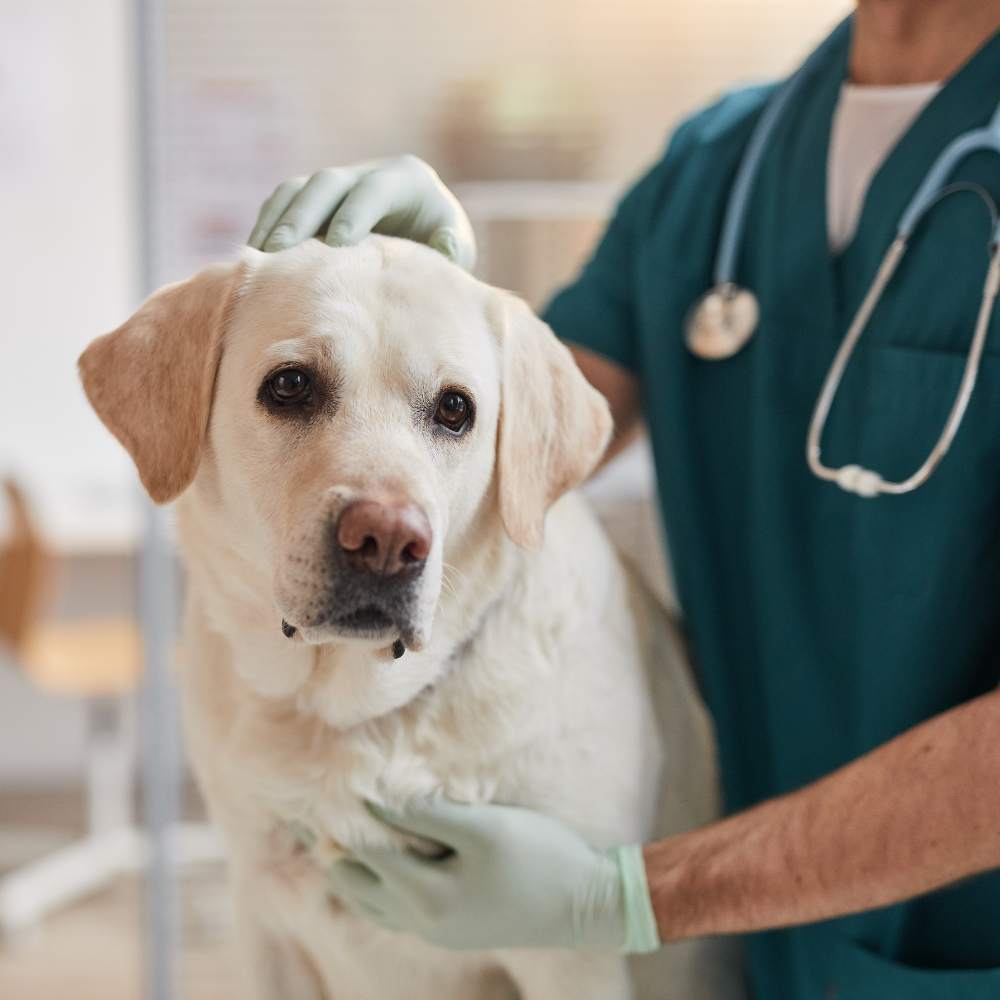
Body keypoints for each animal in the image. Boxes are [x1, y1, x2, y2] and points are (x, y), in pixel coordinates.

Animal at [78, 236, 720, 1000]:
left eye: (455, 409)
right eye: (289, 386)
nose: (386, 541)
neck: (357, 718)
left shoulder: (574, 960)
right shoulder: (265, 922)